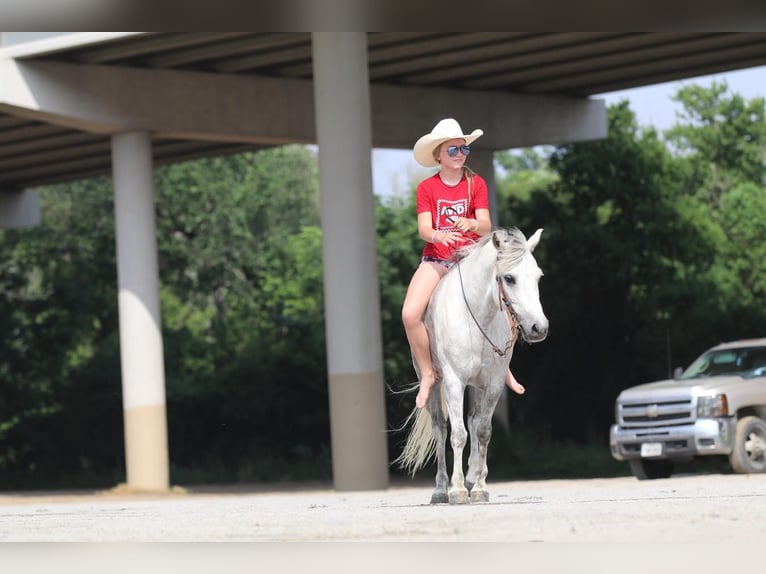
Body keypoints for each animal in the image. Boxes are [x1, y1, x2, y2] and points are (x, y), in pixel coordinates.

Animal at [400, 227, 548, 506]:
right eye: (509, 278)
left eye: (538, 277)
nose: (539, 328)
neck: (477, 316)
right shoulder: (454, 382)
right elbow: (457, 434)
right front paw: (457, 490)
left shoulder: (493, 384)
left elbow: (483, 432)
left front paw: (478, 487)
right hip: (434, 383)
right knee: (440, 428)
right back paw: (441, 489)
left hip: (477, 387)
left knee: (473, 421)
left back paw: (472, 479)